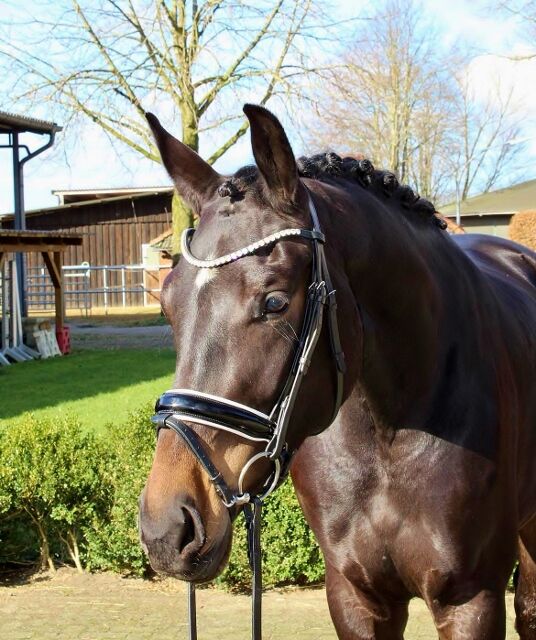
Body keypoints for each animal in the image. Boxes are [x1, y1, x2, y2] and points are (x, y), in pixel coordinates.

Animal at [138, 102, 536, 636]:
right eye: (166, 302)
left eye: (275, 301)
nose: (167, 527)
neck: (389, 430)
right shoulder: (355, 595)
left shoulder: (471, 601)